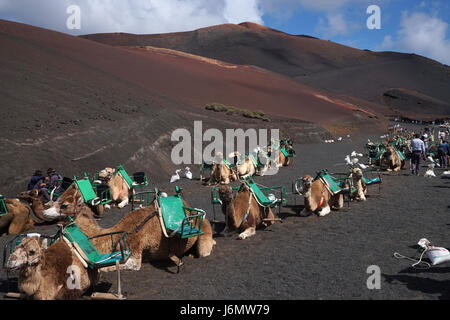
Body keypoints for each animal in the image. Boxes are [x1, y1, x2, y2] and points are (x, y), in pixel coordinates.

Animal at [42, 186, 216, 272]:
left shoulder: (134, 253)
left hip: (205, 230)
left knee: (205, 249)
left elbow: (111, 267)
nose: (44, 212)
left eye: (64, 205)